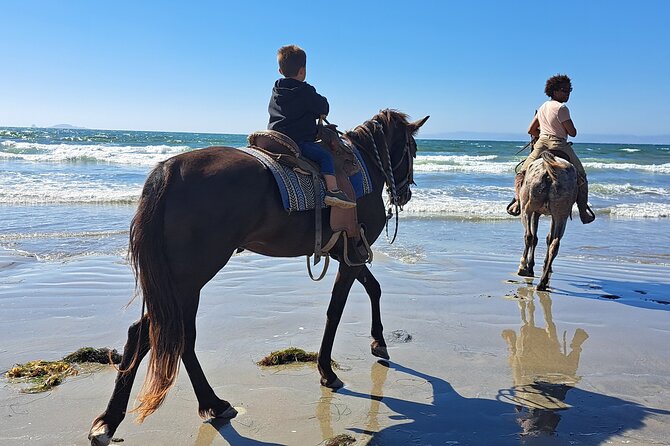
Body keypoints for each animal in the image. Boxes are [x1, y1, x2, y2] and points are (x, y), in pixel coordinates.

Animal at [88, 110, 429, 445]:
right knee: (167, 334)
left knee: (160, 334)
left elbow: (374, 288)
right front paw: (327, 371)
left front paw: (378, 343)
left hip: (177, 280)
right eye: (412, 150)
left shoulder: (346, 253)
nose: (405, 193)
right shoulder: (352, 256)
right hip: (189, 277)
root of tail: (169, 170)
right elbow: (336, 311)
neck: (364, 166)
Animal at [516, 151, 578, 291]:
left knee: (528, 236)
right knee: (554, 244)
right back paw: (542, 282)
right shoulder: (549, 215)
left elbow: (534, 237)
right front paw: (543, 267)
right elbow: (547, 238)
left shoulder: (535, 212)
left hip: (526, 209)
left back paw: (523, 267)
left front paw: (529, 267)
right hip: (561, 214)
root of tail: (548, 170)